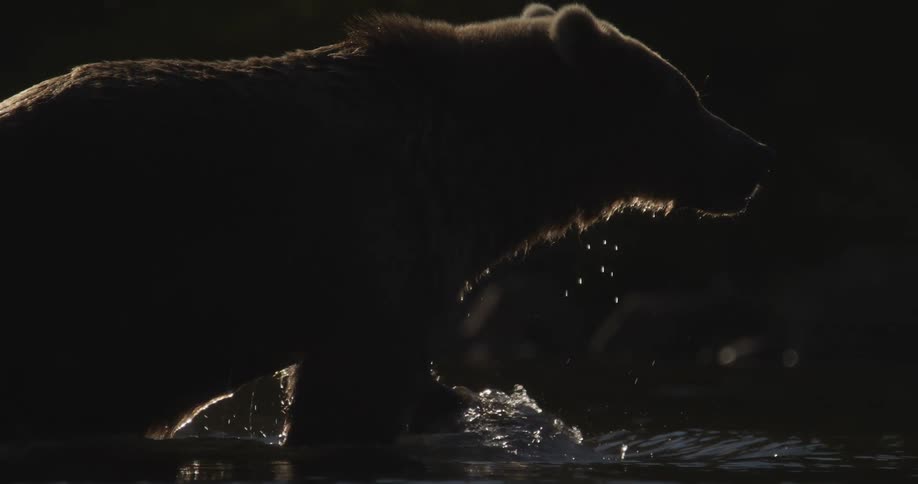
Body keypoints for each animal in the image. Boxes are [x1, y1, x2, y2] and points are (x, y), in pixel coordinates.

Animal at [0, 3, 770, 445]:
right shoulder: (377, 233)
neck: (482, 171)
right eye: (688, 96)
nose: (754, 155)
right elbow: (350, 391)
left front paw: (468, 407)